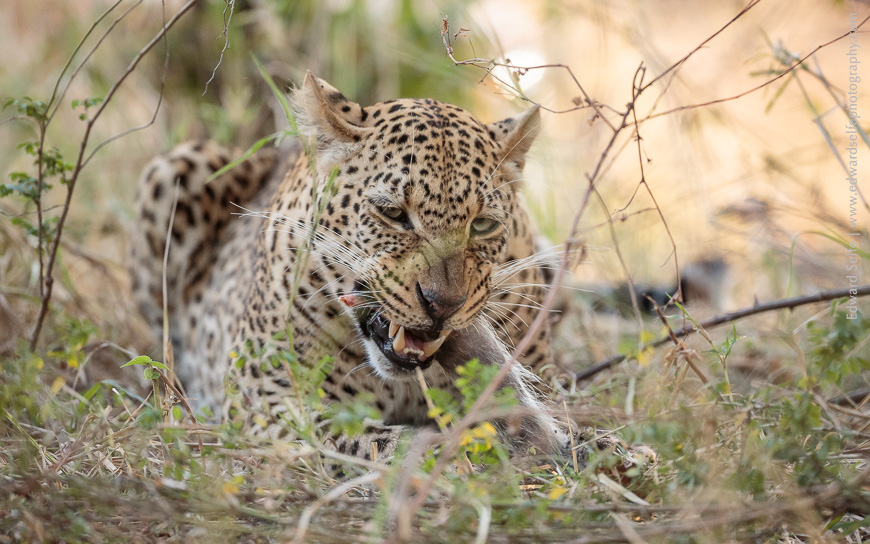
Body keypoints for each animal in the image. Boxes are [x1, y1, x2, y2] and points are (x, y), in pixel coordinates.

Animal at [129, 72, 633, 466]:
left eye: (483, 225)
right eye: (393, 214)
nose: (442, 305)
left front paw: (608, 449)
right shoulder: (266, 393)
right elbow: (358, 438)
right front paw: (455, 453)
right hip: (172, 170)